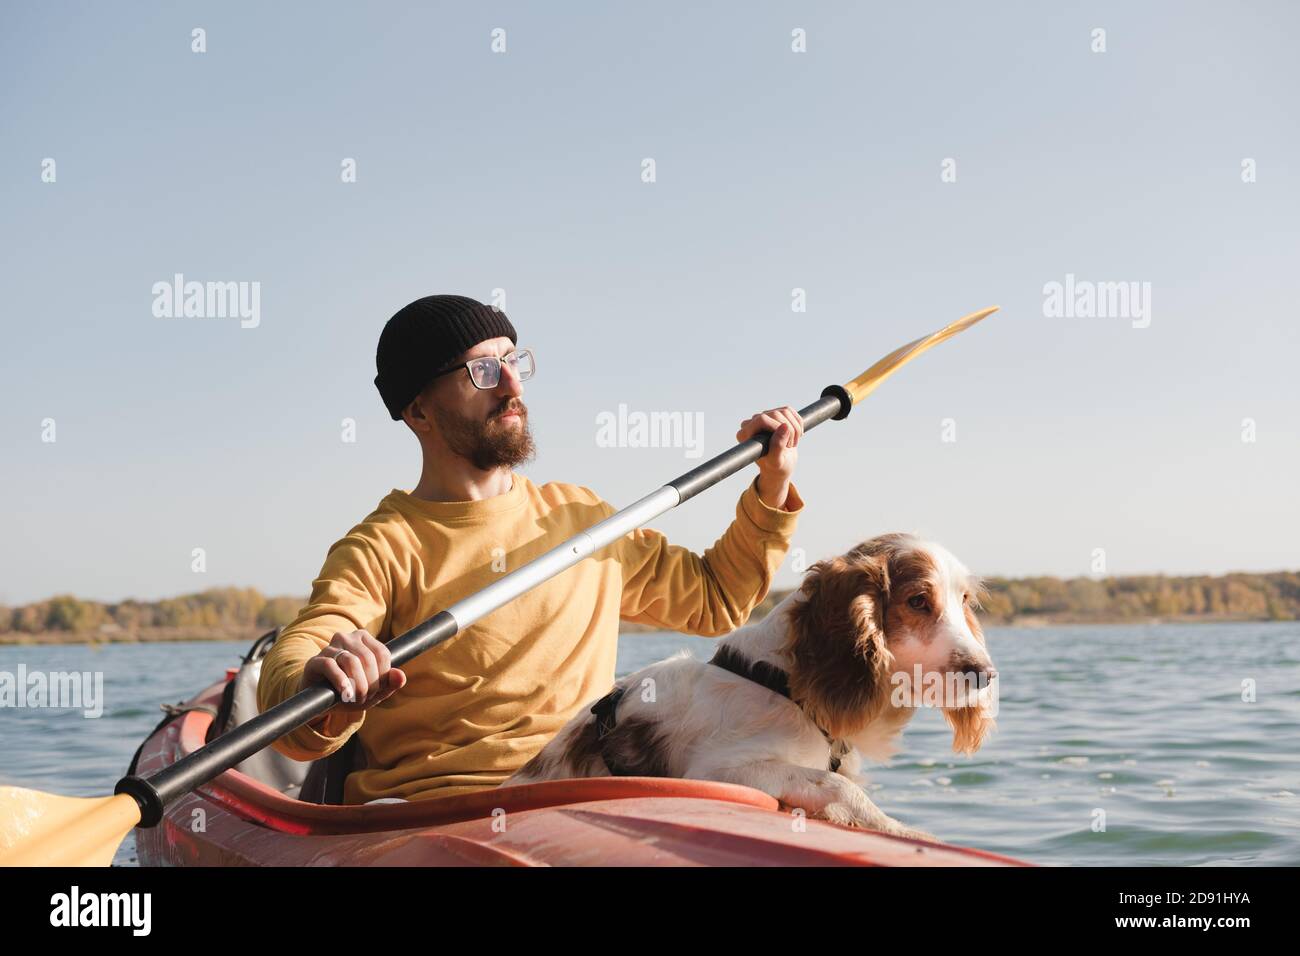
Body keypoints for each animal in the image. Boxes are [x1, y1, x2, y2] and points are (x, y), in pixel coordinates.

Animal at [501, 535, 998, 842]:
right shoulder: (715, 772)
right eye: (918, 601)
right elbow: (840, 786)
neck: (787, 688)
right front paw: (904, 833)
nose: (985, 674)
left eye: (964, 601)